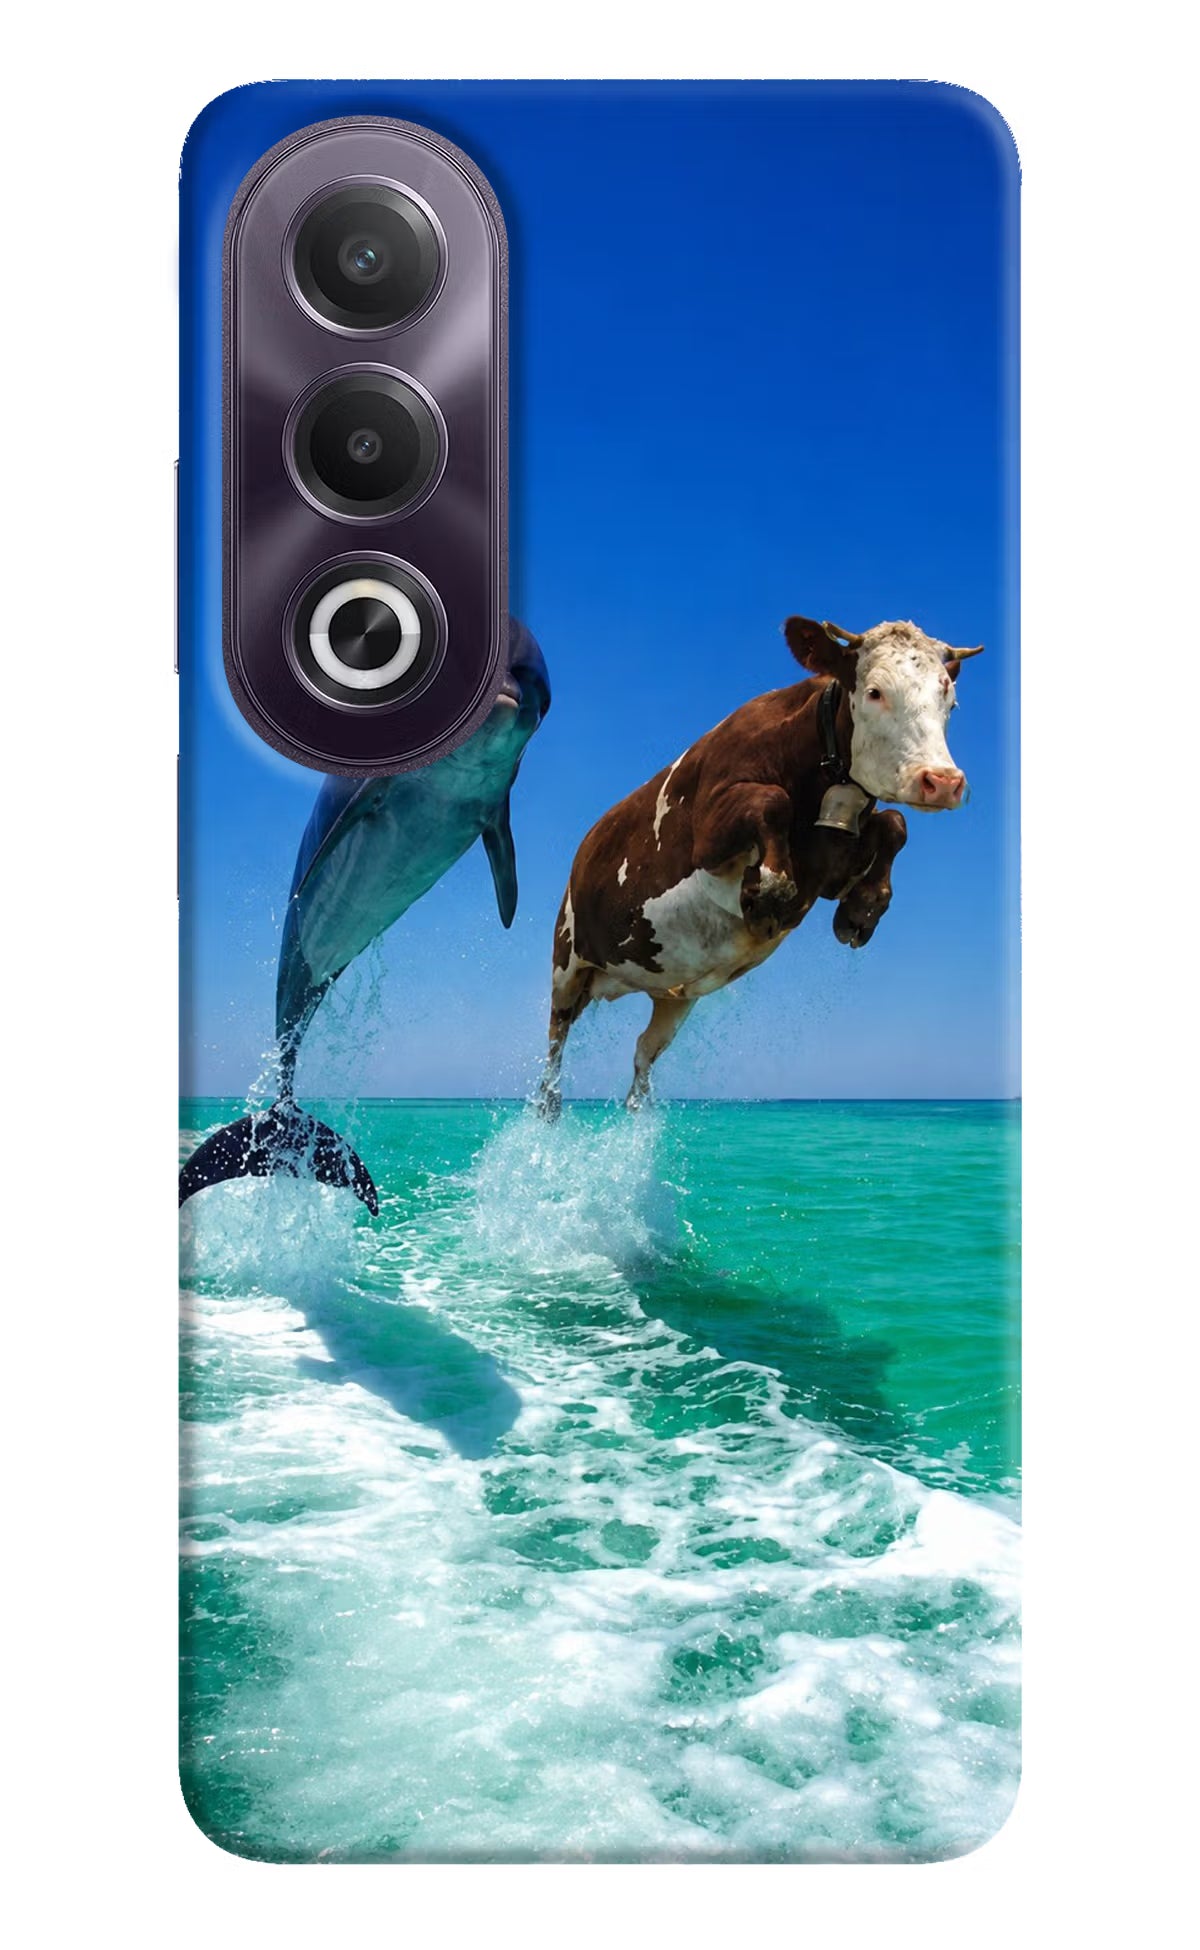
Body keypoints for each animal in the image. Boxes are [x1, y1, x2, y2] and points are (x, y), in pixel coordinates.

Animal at [537, 614, 983, 1116]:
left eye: (950, 699)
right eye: (874, 691)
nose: (942, 781)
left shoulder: (830, 867)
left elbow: (894, 823)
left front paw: (862, 910)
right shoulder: (709, 833)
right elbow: (772, 801)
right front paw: (767, 892)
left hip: (672, 995)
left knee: (642, 1054)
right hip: (566, 962)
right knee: (554, 1044)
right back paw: (549, 1106)